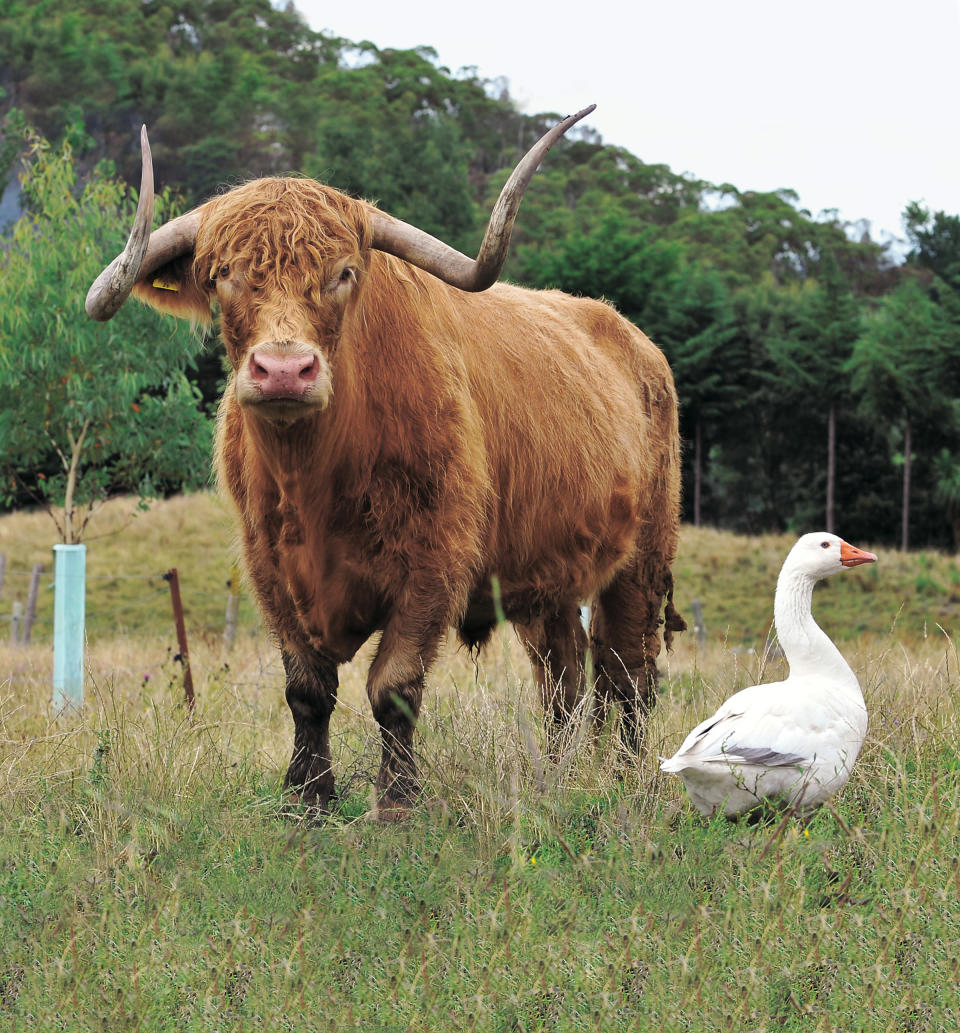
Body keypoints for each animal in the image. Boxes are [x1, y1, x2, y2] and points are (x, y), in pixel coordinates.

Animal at [82, 108, 682, 818]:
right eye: (221, 273)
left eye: (344, 273)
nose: (284, 370)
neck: (316, 485)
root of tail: (632, 337)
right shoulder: (267, 567)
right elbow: (307, 689)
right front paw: (308, 797)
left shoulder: (433, 563)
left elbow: (392, 685)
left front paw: (395, 801)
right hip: (549, 576)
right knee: (562, 675)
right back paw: (555, 778)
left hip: (643, 561)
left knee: (629, 673)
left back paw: (626, 779)